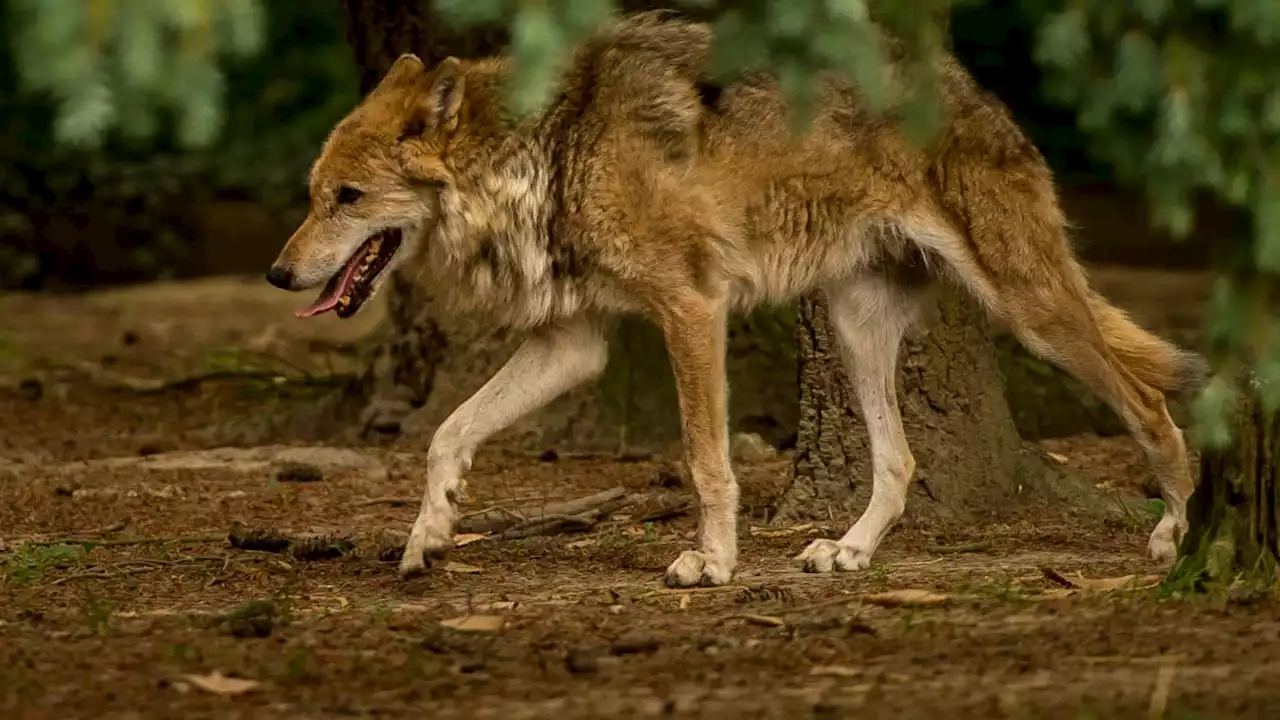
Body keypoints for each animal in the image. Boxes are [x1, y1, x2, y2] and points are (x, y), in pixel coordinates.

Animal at [264, 9, 1203, 584]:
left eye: (346, 198)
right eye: (313, 195)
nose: (278, 276)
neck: (547, 149)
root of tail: (974, 90)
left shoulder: (691, 309)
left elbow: (704, 458)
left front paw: (712, 564)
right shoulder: (576, 343)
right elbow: (448, 434)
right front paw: (430, 533)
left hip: (1031, 312)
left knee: (1153, 405)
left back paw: (1177, 534)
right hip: (857, 330)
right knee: (900, 461)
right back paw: (847, 553)